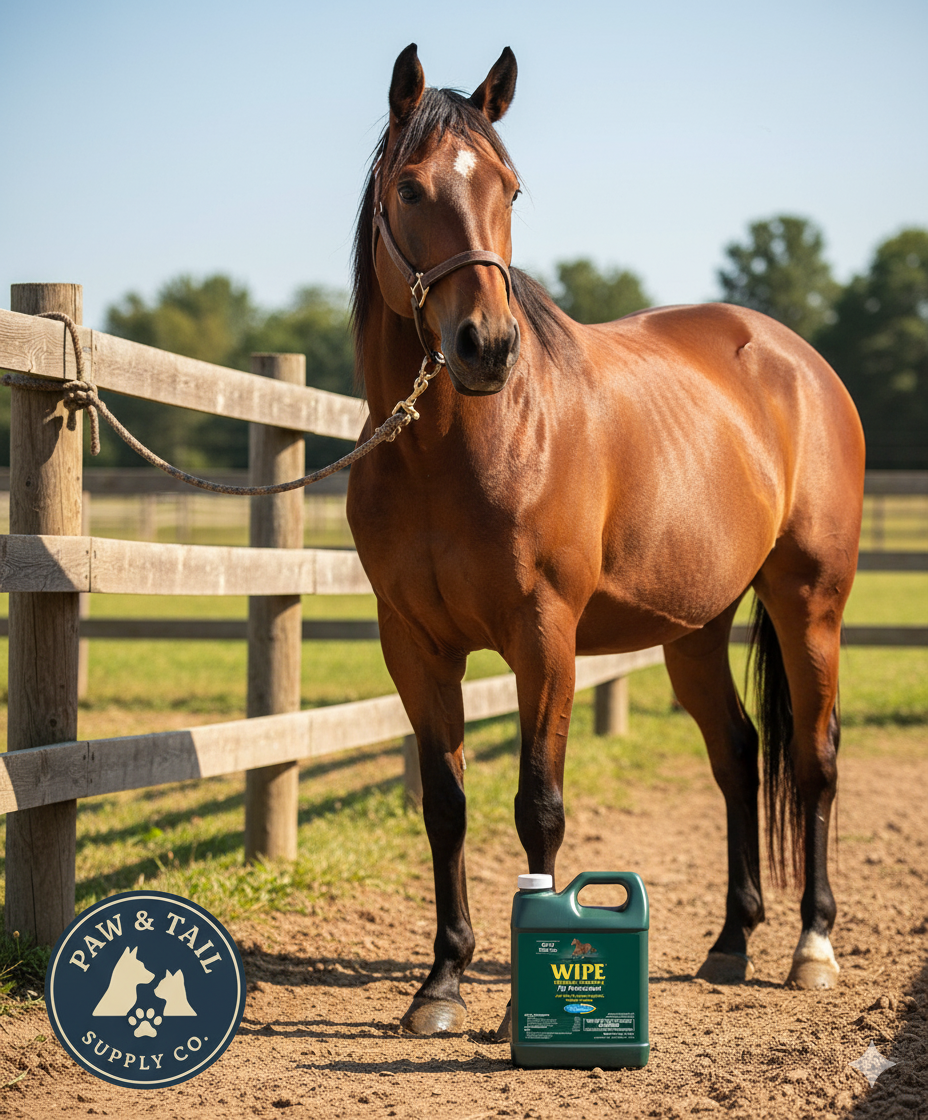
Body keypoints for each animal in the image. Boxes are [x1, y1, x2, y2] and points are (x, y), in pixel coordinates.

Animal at [346, 44, 865, 1036]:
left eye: (509, 188)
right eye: (411, 188)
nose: (486, 346)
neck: (454, 449)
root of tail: (800, 361)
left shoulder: (544, 638)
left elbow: (537, 808)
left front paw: (520, 997)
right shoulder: (413, 646)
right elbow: (446, 806)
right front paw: (441, 983)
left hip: (807, 604)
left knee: (814, 762)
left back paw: (812, 947)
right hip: (696, 629)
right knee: (738, 756)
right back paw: (730, 942)